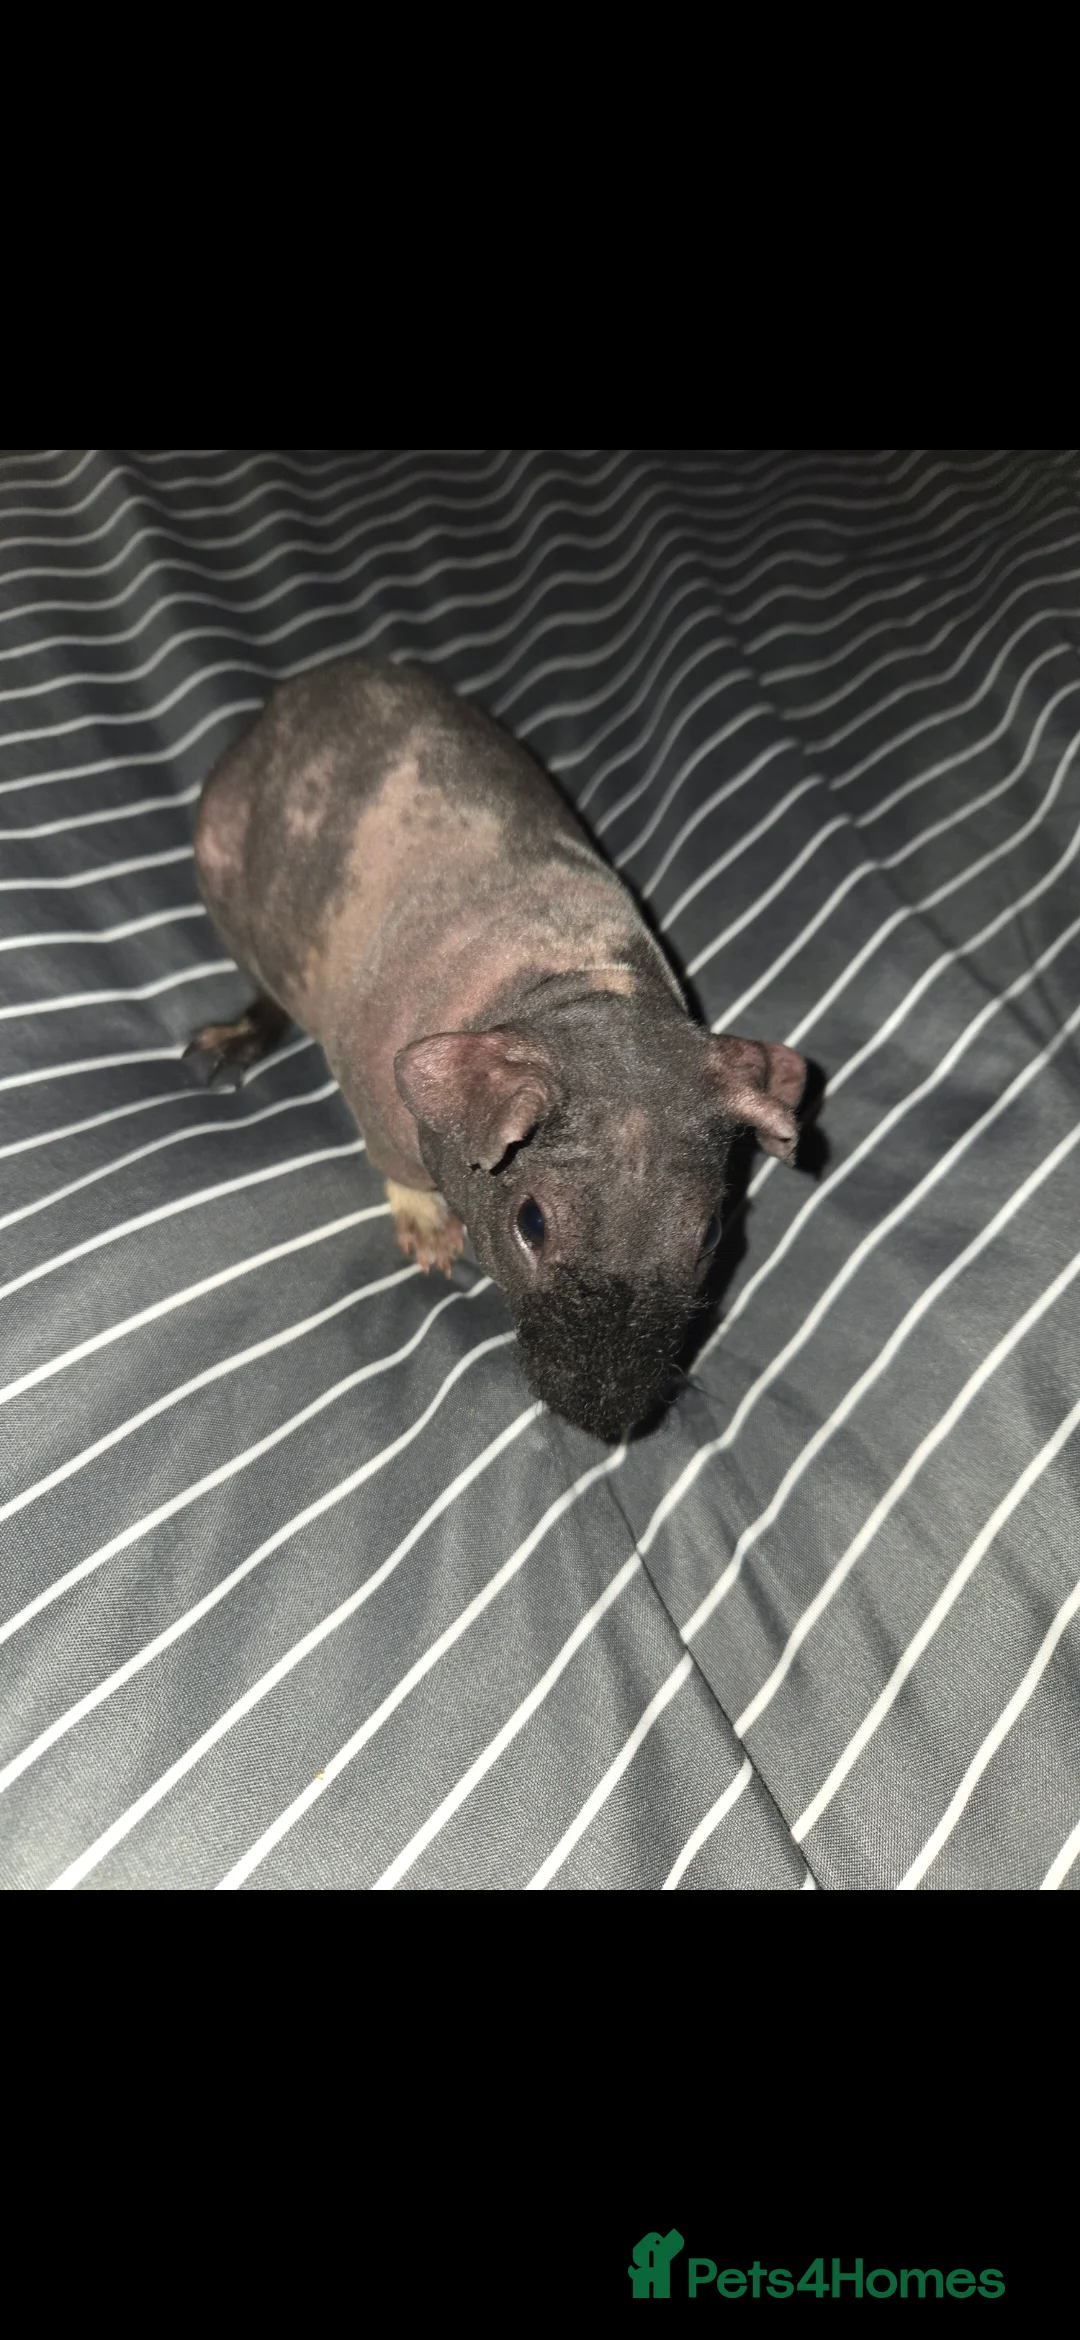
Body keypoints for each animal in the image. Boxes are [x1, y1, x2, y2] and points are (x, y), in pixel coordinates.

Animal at [188, 656, 806, 1441]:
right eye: (530, 1224)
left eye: (712, 1232)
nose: (602, 1419)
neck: (578, 985)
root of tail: (301, 689)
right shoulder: (377, 1087)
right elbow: (396, 1159)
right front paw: (425, 1217)